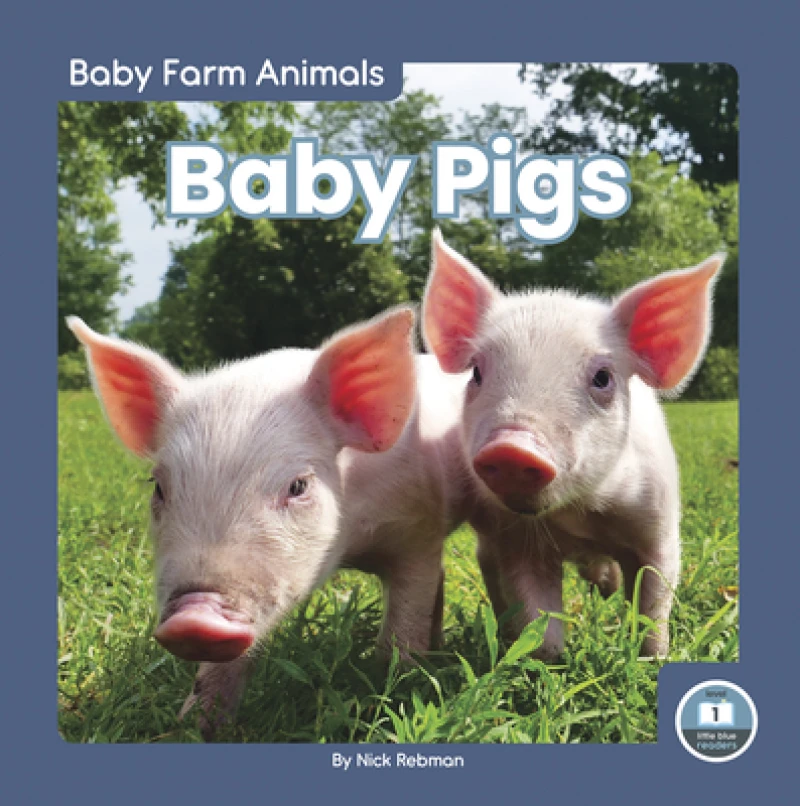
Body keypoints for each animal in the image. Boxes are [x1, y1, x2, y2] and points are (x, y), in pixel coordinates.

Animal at [67, 307, 471, 738]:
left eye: (297, 485)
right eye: (158, 487)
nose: (194, 616)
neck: (349, 547)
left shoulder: (418, 532)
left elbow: (402, 628)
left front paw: (398, 695)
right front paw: (192, 726)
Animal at [422, 230, 724, 660]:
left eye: (602, 378)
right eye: (477, 372)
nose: (512, 447)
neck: (580, 516)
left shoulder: (659, 524)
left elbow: (653, 601)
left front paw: (651, 658)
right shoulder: (516, 539)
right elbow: (538, 619)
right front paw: (547, 661)